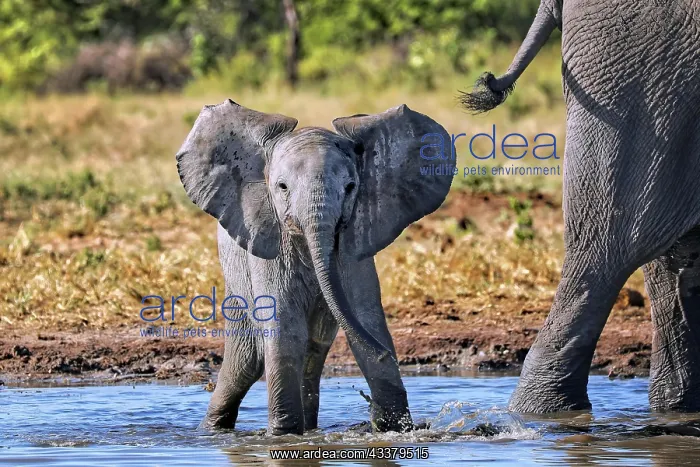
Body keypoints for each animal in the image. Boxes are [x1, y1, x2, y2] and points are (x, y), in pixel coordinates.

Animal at [175, 99, 454, 434]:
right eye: (282, 187)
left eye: (351, 187)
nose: (385, 354)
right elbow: (284, 326)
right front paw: (283, 434)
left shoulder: (352, 246)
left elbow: (366, 317)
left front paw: (395, 427)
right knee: (247, 361)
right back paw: (213, 429)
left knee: (314, 348)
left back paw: (309, 429)